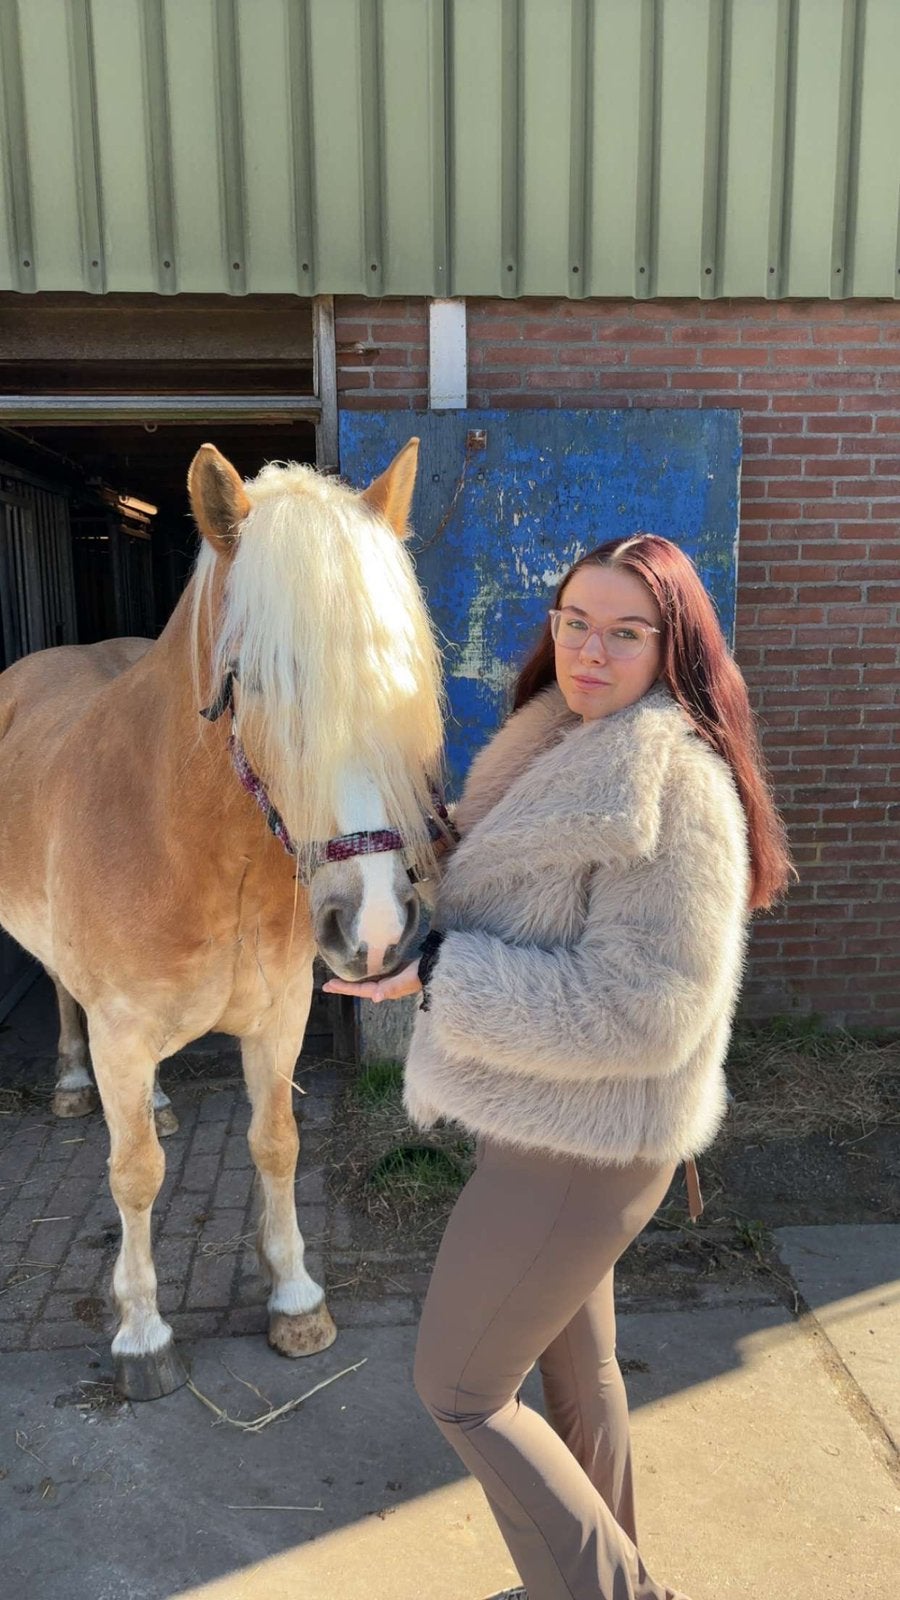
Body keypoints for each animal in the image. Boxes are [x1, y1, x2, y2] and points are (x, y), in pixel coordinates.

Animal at [0, 440, 445, 1399]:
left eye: (403, 682)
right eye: (258, 684)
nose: (378, 930)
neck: (197, 844)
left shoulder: (280, 1018)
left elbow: (275, 1143)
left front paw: (296, 1299)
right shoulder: (122, 1032)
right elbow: (134, 1174)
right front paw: (141, 1334)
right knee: (62, 997)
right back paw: (67, 1082)